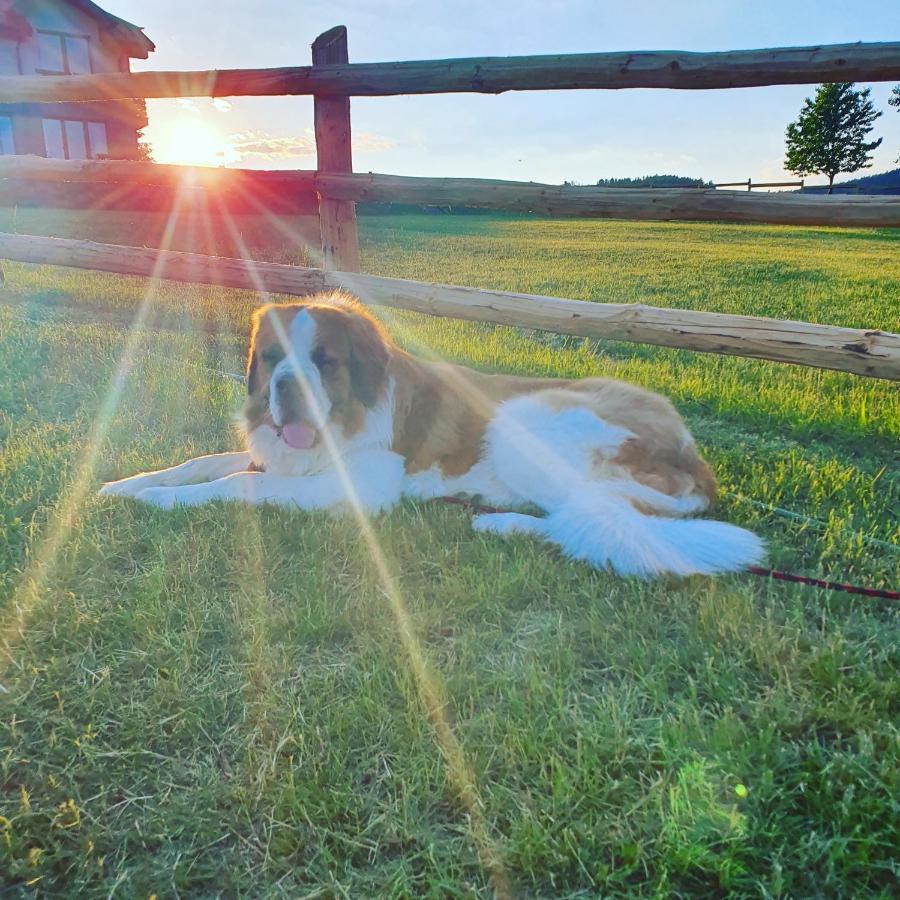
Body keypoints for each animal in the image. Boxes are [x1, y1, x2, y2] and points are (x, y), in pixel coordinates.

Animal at [102, 292, 764, 580]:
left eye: (323, 360)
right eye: (269, 359)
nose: (285, 385)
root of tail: (693, 457)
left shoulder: (356, 490)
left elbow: (241, 484)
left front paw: (160, 500)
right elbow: (207, 462)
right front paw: (128, 484)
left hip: (524, 422)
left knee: (595, 518)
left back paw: (501, 523)